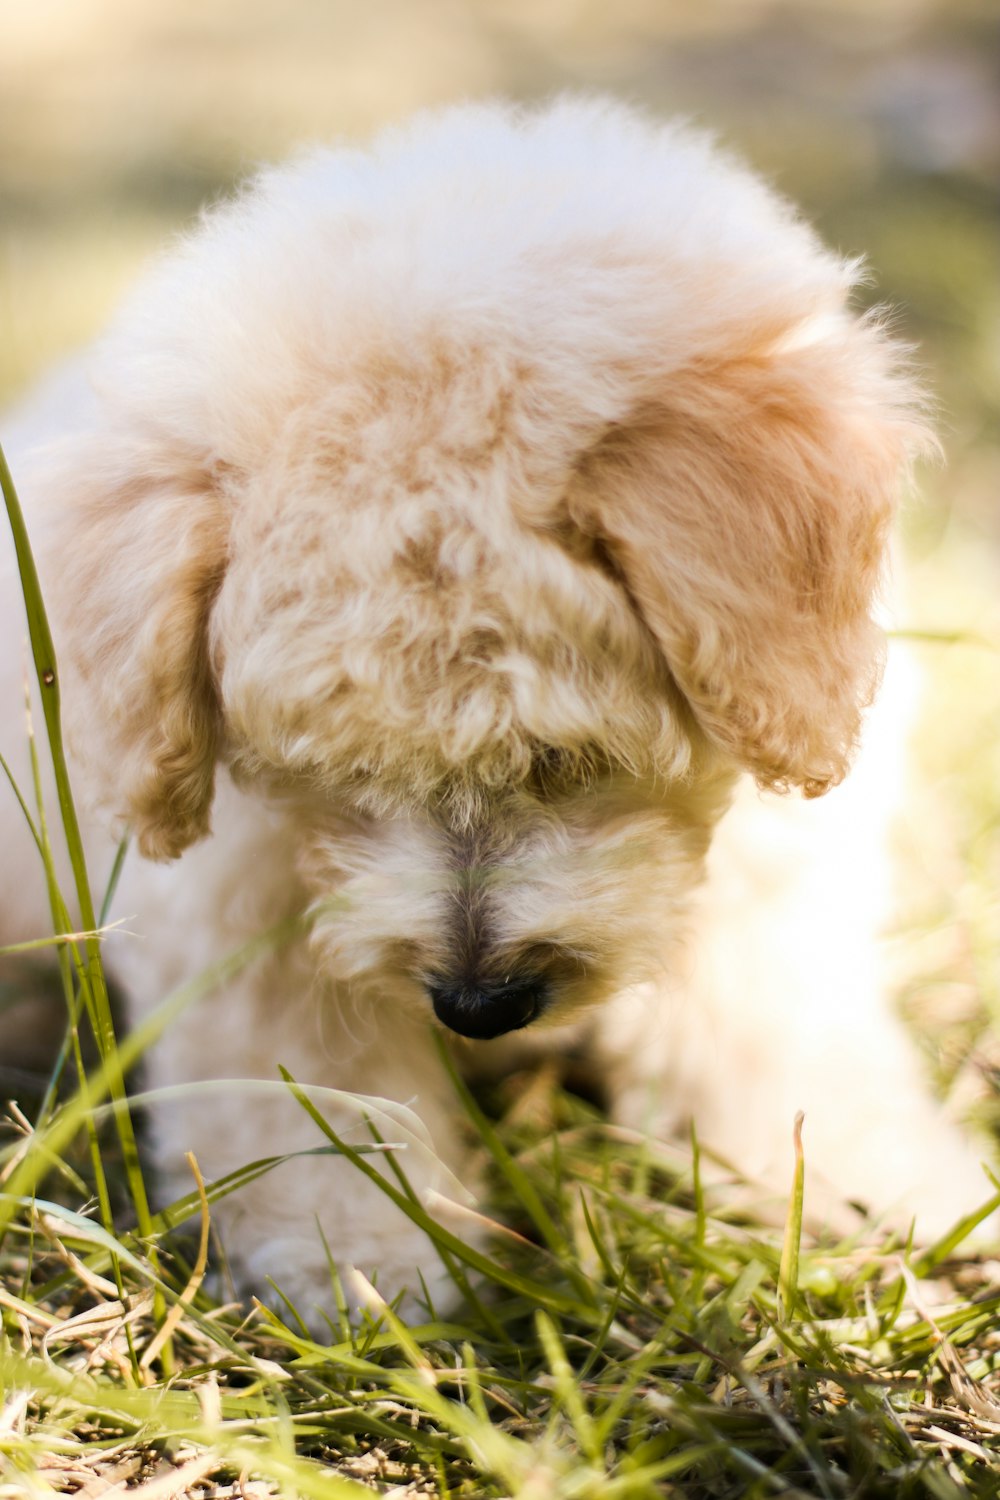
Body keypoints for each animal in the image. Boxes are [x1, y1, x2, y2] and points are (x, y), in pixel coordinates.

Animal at [0, 99, 983, 1320]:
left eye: (567, 761)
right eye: (332, 779)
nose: (478, 1005)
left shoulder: (775, 890)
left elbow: (779, 1041)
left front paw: (865, 1187)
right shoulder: (243, 925)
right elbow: (315, 1093)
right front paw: (365, 1267)